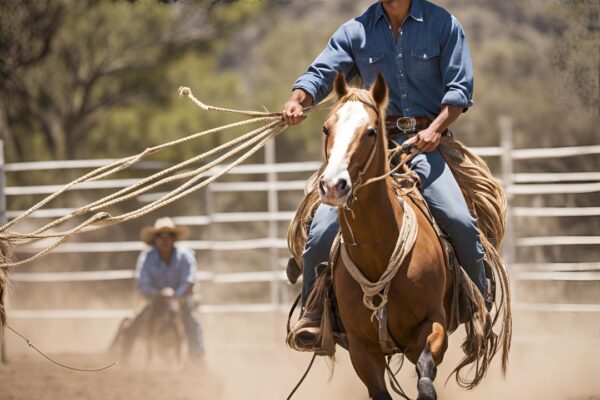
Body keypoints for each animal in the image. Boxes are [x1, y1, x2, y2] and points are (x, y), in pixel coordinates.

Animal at [314, 72, 506, 400]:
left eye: (370, 131)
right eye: (327, 128)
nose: (333, 185)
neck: (379, 251)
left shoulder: (433, 324)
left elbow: (426, 377)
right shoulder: (361, 349)